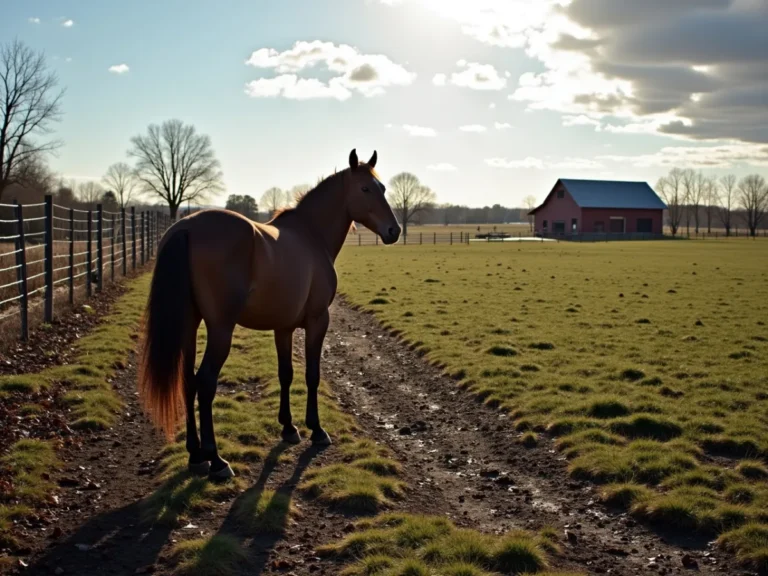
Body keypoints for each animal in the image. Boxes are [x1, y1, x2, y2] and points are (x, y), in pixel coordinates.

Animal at [137, 149, 401, 480]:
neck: (311, 235)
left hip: (188, 324)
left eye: (383, 189)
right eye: (365, 188)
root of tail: (186, 228)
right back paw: (217, 460)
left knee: (187, 380)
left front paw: (289, 428)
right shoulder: (318, 321)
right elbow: (312, 374)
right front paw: (316, 430)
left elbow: (285, 374)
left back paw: (196, 455)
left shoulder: (283, 327)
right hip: (220, 329)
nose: (394, 231)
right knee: (205, 382)